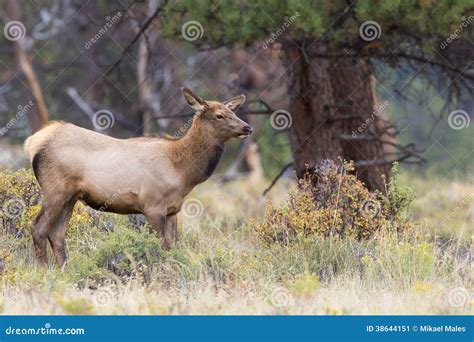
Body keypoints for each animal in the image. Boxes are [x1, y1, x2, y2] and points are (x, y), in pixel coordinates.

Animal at [24, 88, 252, 268]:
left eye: (233, 112)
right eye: (219, 115)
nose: (247, 127)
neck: (183, 172)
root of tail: (32, 142)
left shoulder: (172, 210)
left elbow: (173, 246)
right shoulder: (153, 205)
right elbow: (160, 245)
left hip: (70, 196)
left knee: (57, 233)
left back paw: (64, 270)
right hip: (55, 189)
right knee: (38, 227)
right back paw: (45, 271)